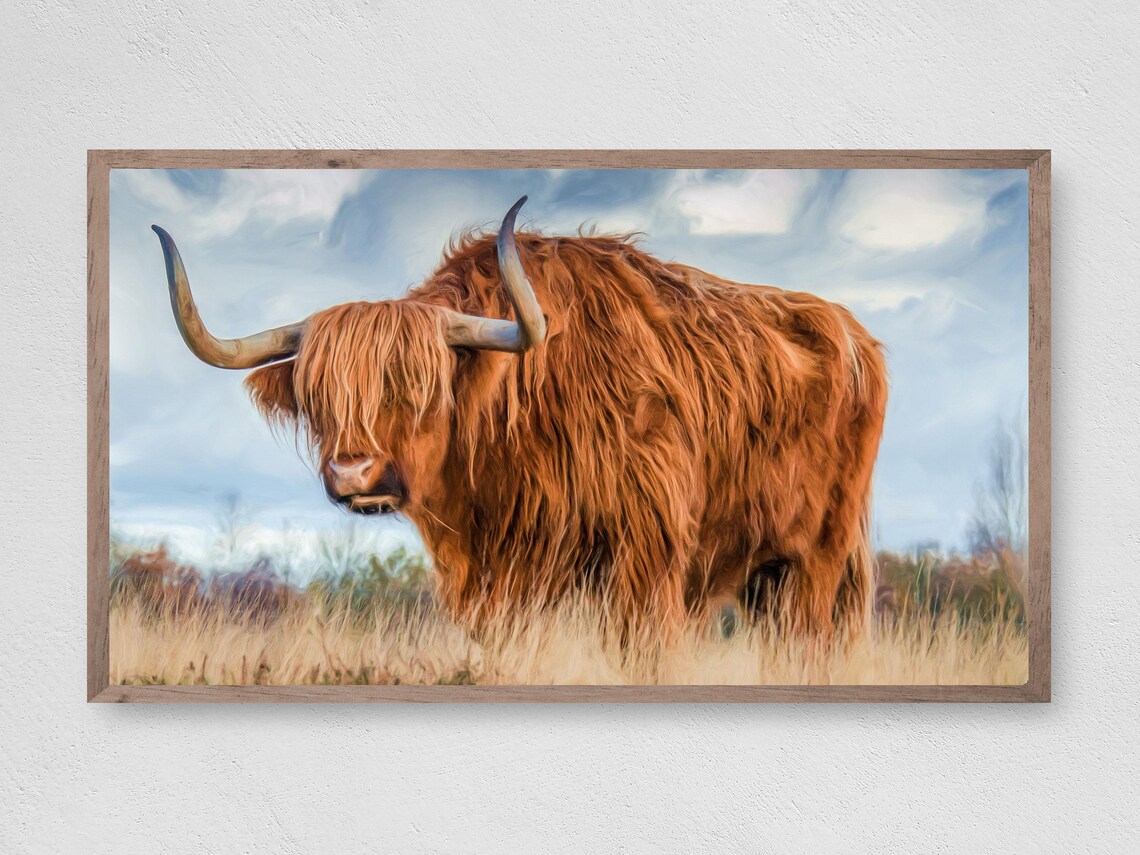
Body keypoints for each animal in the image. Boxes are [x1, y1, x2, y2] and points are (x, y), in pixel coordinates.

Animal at [151, 196, 888, 643]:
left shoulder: (647, 555)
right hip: (767, 573)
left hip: (818, 558)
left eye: (419, 386)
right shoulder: (493, 578)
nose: (353, 473)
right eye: (318, 396)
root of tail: (855, 333)